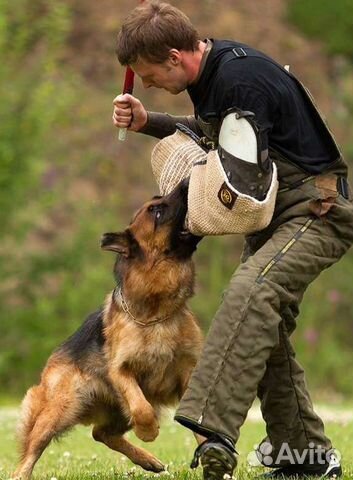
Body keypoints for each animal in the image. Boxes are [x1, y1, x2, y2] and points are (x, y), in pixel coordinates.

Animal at [13, 182, 202, 478]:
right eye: (156, 211)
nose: (186, 183)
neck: (157, 313)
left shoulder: (188, 372)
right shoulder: (121, 372)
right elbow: (141, 408)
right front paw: (149, 431)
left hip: (111, 411)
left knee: (100, 433)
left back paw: (148, 460)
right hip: (61, 409)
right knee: (35, 447)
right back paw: (21, 473)